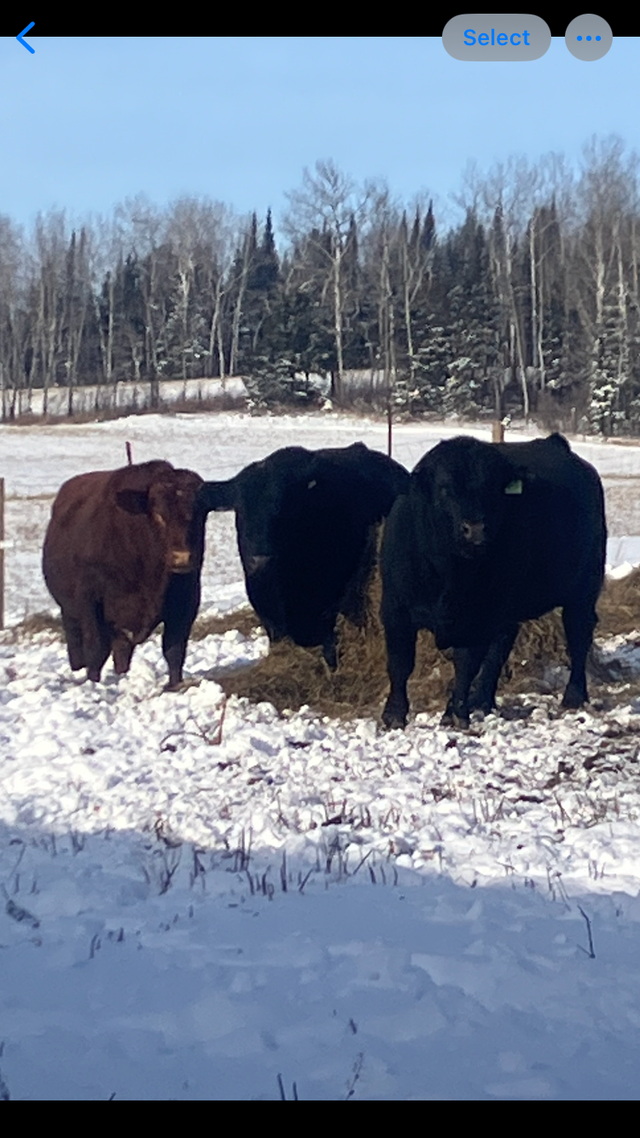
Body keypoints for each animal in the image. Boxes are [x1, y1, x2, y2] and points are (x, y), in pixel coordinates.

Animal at [42, 460, 207, 689]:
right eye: (158, 514)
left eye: (198, 515)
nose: (182, 557)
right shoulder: (90, 601)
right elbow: (96, 649)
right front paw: (93, 684)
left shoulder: (186, 601)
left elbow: (174, 649)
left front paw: (175, 685)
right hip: (69, 610)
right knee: (77, 645)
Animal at [197, 442, 410, 668]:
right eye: (241, 512)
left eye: (284, 510)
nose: (260, 558)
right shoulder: (270, 618)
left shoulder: (331, 606)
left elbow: (330, 652)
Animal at [380, 433, 607, 730]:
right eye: (445, 488)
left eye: (492, 489)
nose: (475, 529)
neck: (449, 573)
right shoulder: (395, 608)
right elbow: (400, 663)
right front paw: (394, 715)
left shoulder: (477, 614)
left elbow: (466, 663)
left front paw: (455, 713)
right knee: (502, 643)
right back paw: (482, 700)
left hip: (583, 589)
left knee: (578, 633)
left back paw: (573, 696)